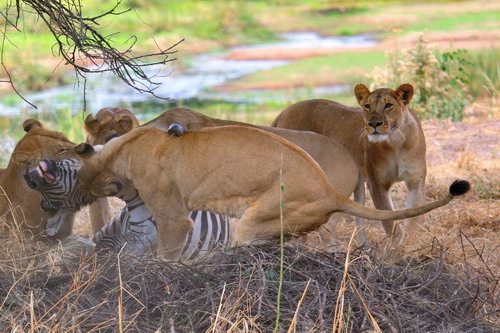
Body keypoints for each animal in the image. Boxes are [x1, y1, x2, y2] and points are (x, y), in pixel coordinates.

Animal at [272, 82, 428, 239]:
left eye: (388, 105)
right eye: (367, 106)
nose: (374, 124)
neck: (396, 142)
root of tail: (284, 111)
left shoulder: (416, 182)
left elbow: (414, 221)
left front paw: (409, 243)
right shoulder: (377, 185)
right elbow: (390, 223)